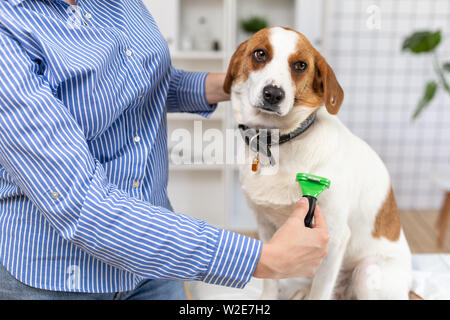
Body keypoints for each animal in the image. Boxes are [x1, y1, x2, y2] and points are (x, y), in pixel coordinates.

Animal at [223, 27, 414, 300]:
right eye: (260, 54)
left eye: (300, 65)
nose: (273, 94)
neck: (279, 143)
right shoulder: (267, 226)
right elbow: (270, 281)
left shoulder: (333, 238)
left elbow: (320, 292)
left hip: (367, 273)